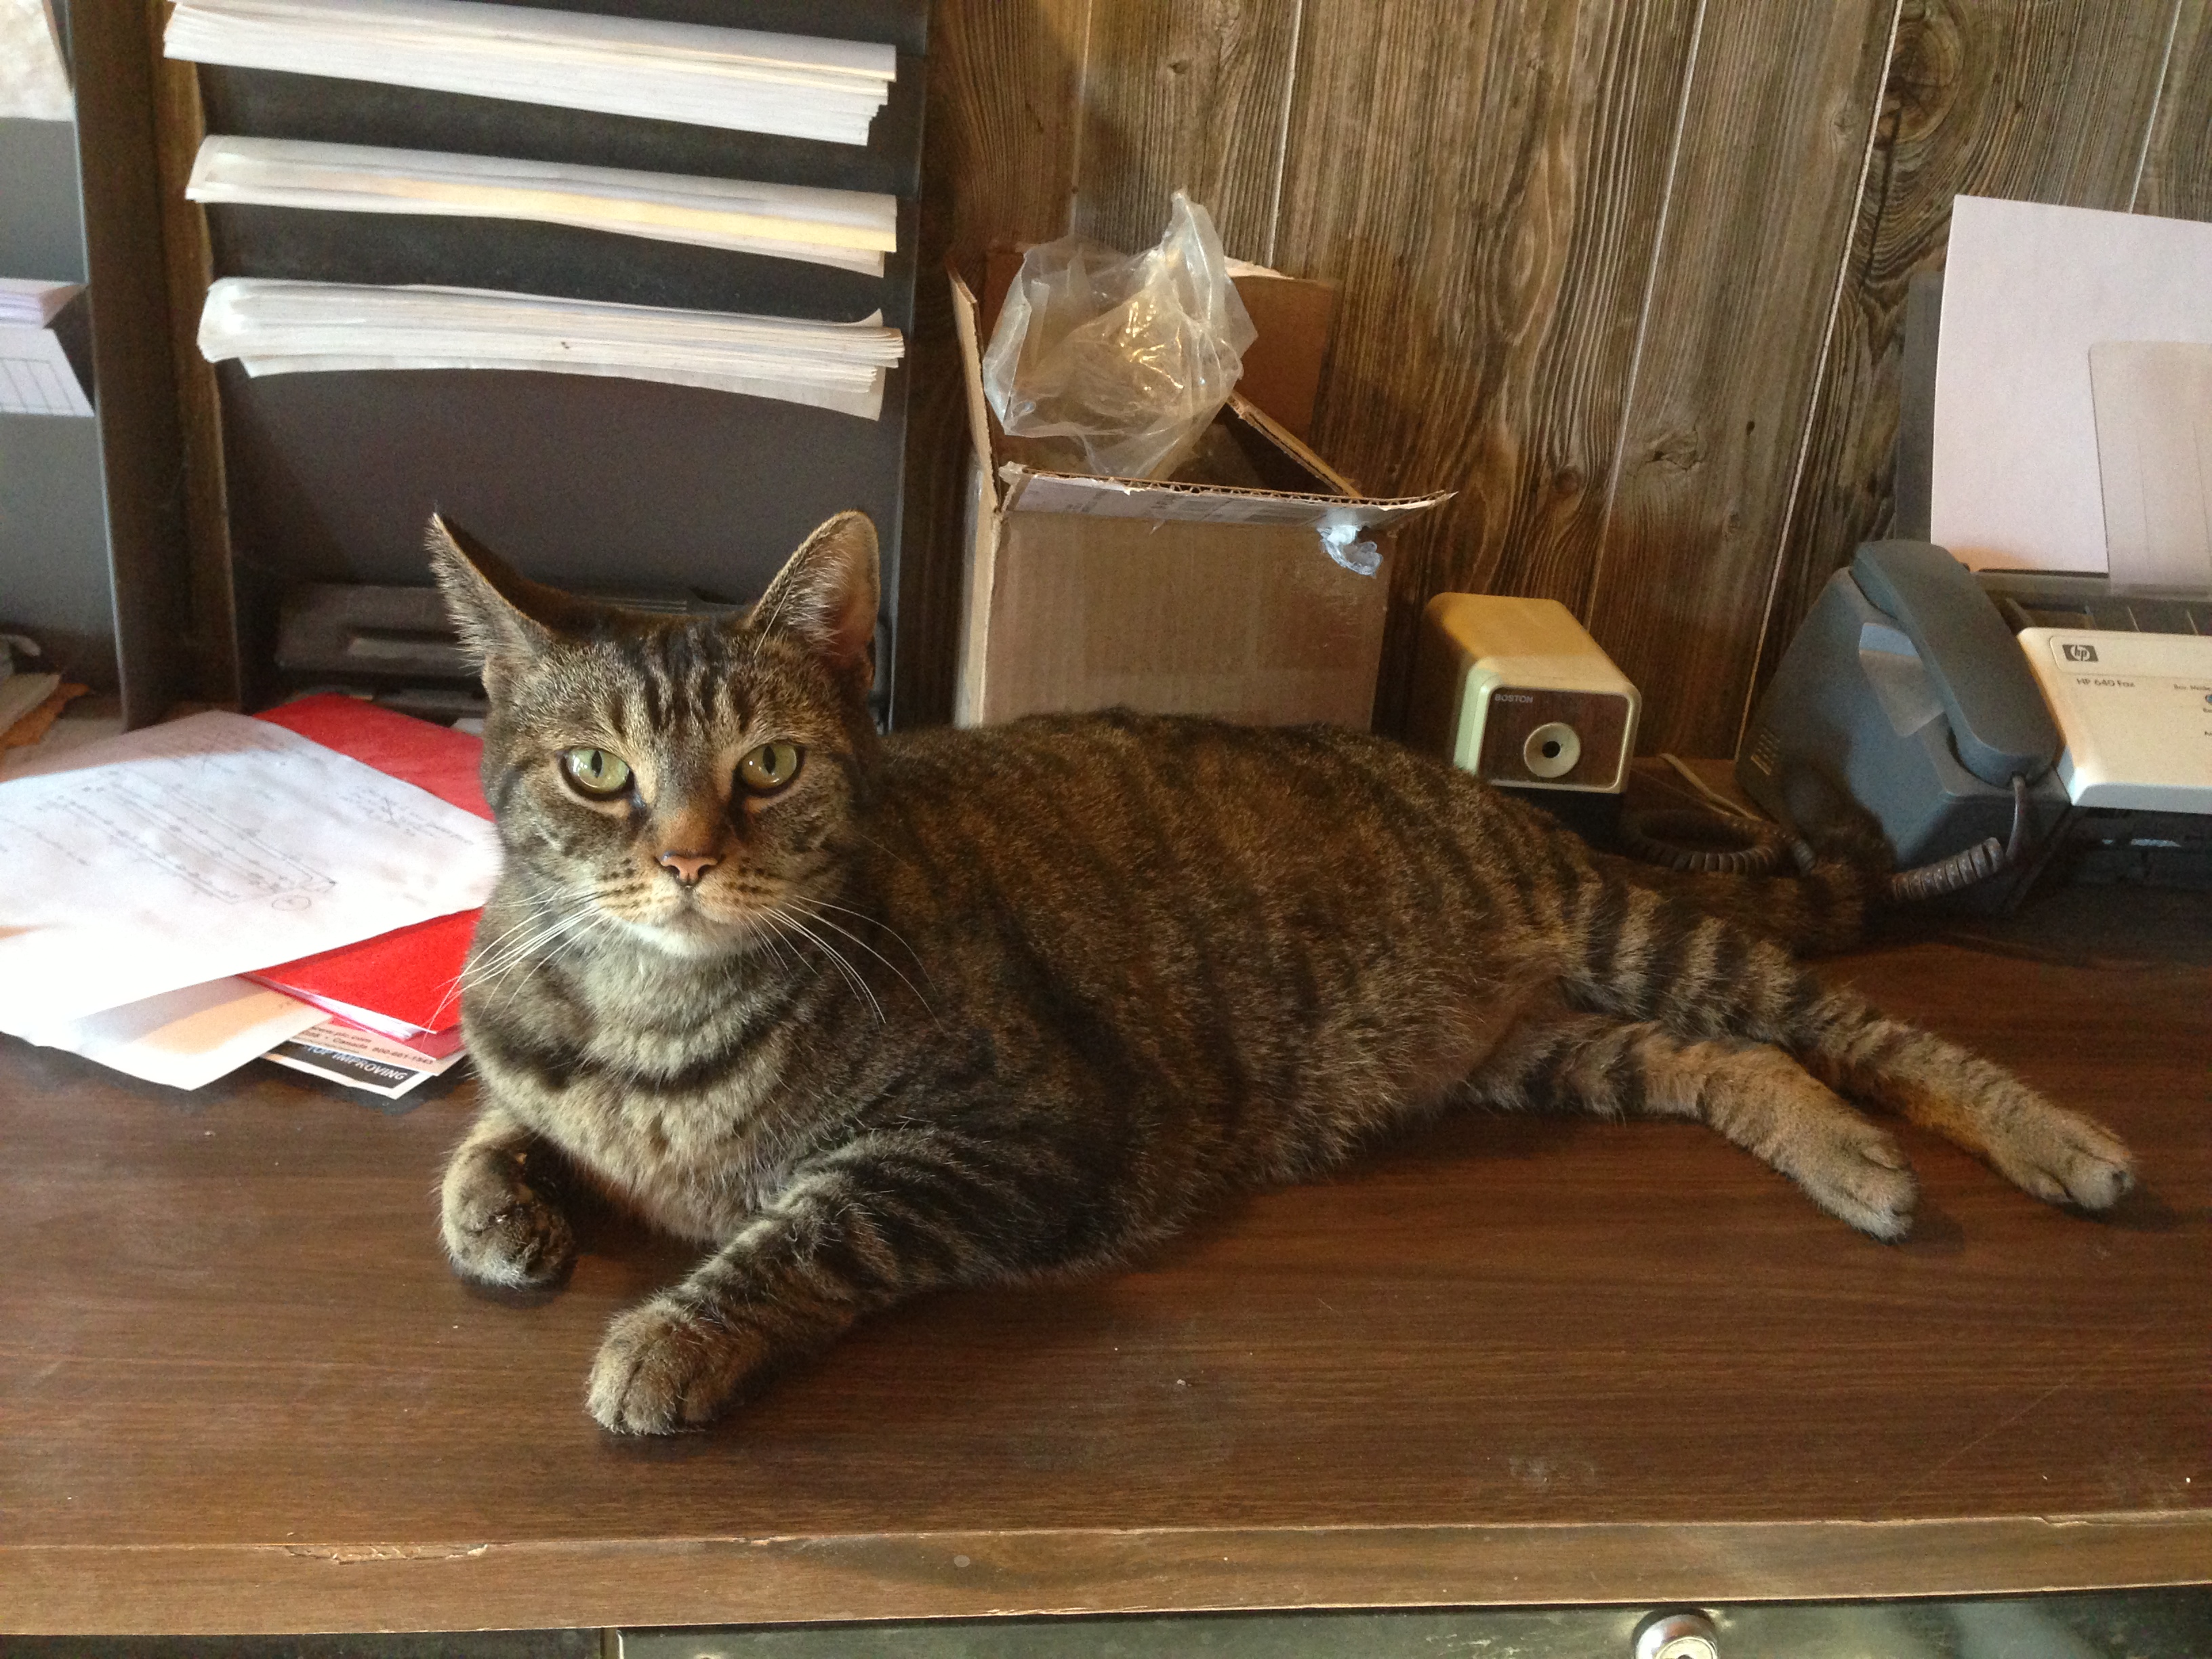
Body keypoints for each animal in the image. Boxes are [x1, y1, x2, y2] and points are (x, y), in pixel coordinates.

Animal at [430, 509, 2135, 1435]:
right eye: (597, 771)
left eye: (769, 765)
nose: (685, 857)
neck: (651, 1015)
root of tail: (1500, 795)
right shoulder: (537, 1054)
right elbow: (501, 1123)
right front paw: (501, 1202)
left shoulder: (1009, 1136)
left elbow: (802, 1230)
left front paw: (671, 1334)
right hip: (1547, 1046)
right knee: (1730, 1063)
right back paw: (1844, 1156)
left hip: (1639, 938)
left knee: (1856, 1025)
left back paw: (2046, 1138)